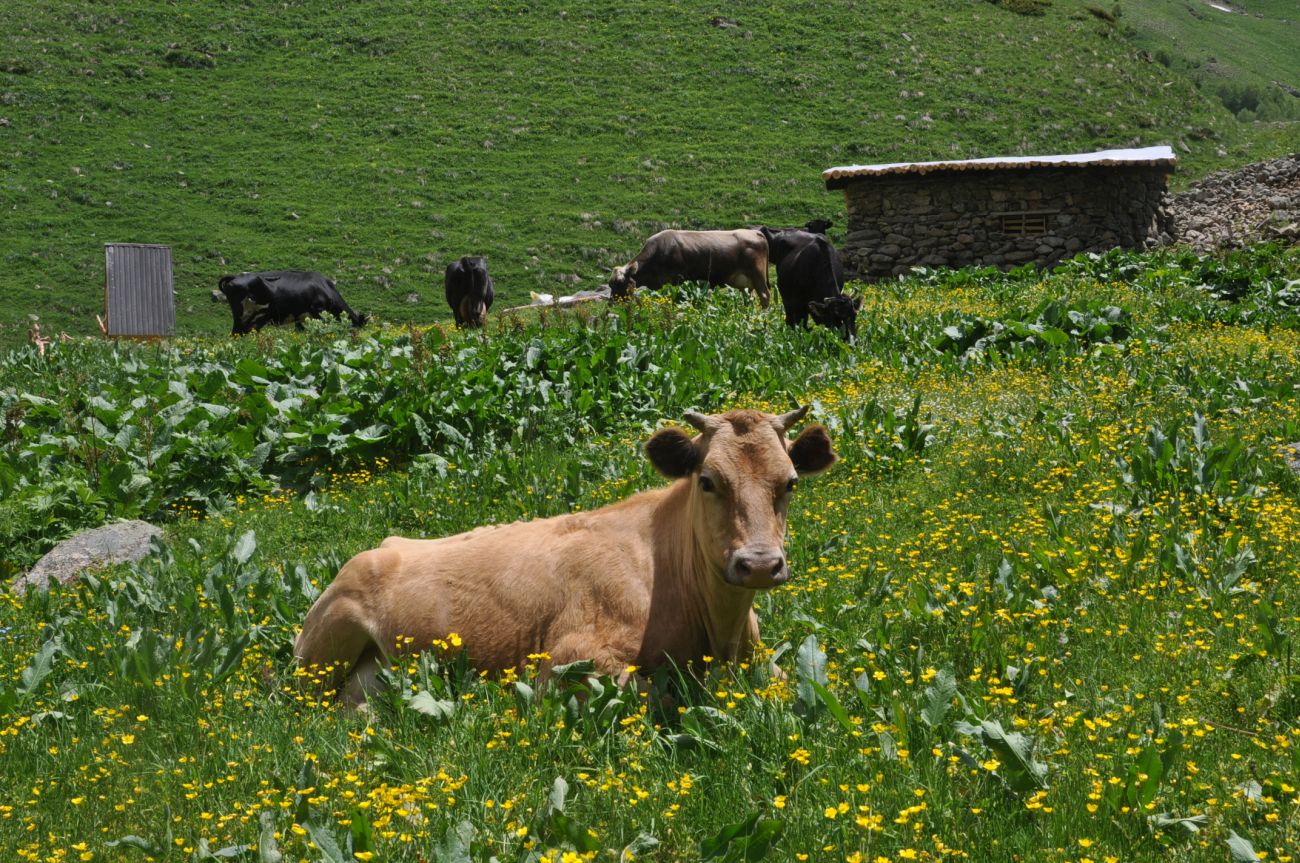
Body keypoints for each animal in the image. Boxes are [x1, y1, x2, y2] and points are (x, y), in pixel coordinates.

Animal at [296, 405, 837, 701]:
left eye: (790, 482)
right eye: (708, 481)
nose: (760, 564)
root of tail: (382, 546)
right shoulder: (567, 659)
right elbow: (656, 692)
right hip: (320, 653)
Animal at [608, 231, 769, 308]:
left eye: (620, 282)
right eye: (610, 284)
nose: (611, 304)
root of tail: (755, 232)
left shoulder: (677, 280)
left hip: (757, 274)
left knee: (765, 296)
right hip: (744, 283)